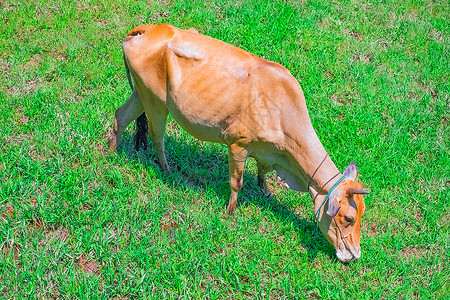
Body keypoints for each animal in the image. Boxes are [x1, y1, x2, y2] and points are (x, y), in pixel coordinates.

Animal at [108, 24, 370, 262]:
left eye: (361, 214)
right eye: (349, 218)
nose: (354, 255)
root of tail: (148, 29)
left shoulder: (267, 152)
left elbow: (263, 171)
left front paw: (265, 190)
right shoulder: (238, 145)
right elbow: (237, 182)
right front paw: (231, 211)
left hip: (141, 94)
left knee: (121, 116)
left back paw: (112, 151)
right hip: (156, 101)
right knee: (156, 135)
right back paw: (166, 169)